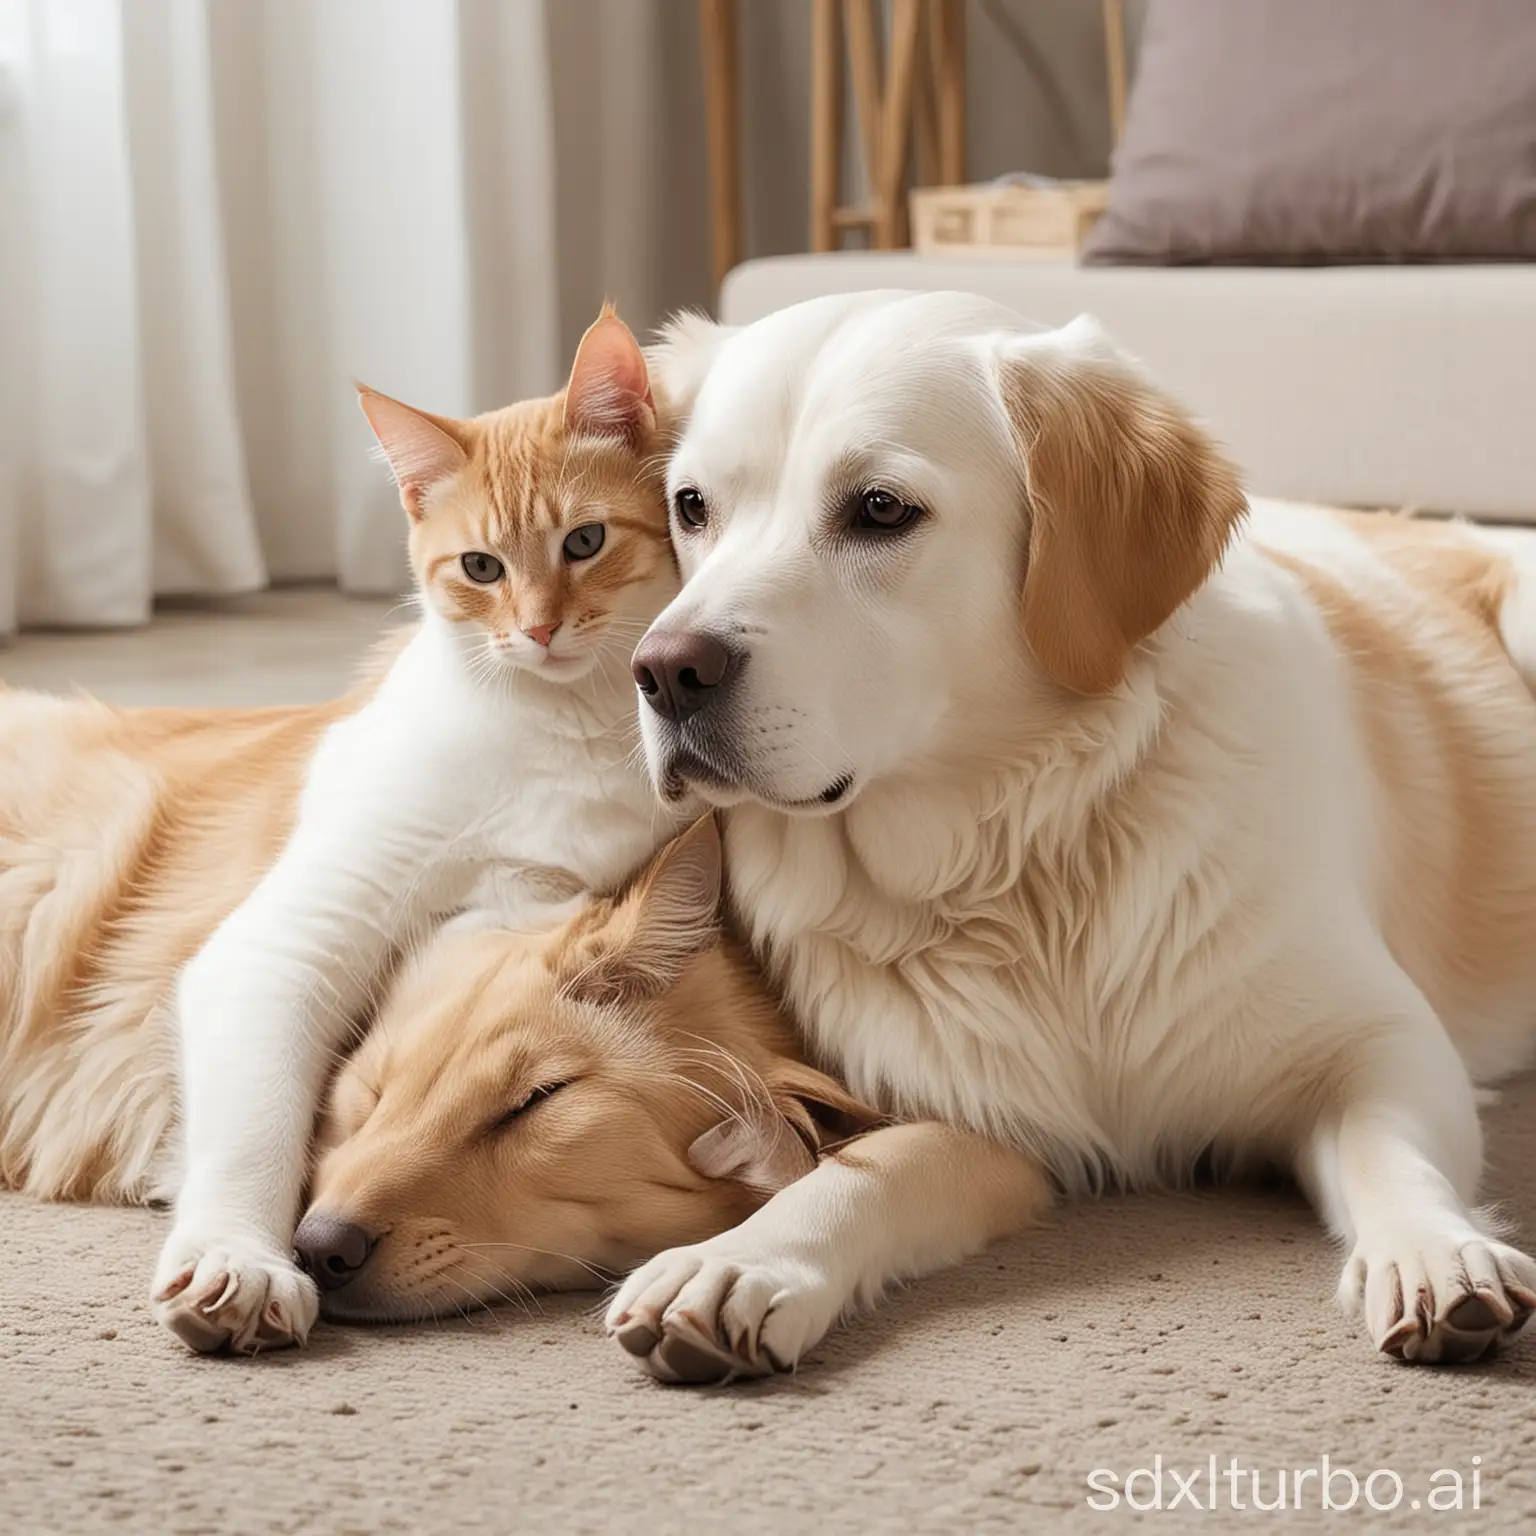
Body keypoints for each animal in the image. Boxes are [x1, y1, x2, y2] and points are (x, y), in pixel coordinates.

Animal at [605, 288, 1536, 1382]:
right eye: (692, 506)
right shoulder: (985, 1111)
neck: (1021, 852)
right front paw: (743, 1258)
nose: (665, 671)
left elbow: (1392, 1151)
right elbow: (863, 1169)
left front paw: (1436, 1253)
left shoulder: (1379, 1040)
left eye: (880, 509)